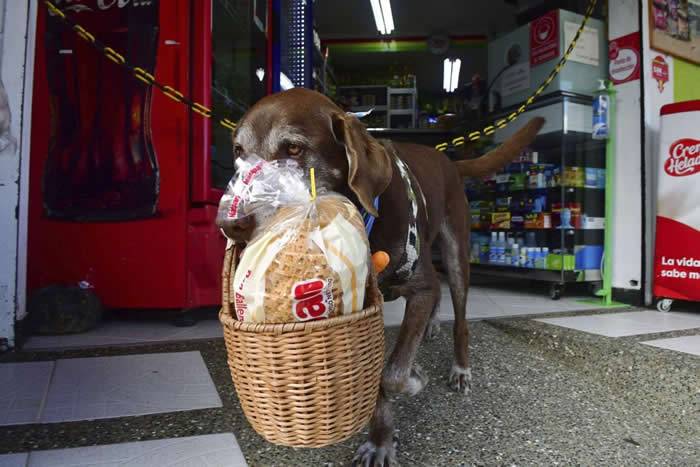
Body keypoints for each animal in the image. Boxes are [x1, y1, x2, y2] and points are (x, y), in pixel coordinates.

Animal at [221, 88, 544, 464]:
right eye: (238, 152)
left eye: (294, 149)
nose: (229, 224)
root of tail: (446, 158)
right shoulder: (363, 309)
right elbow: (376, 375)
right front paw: (381, 440)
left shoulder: (420, 288)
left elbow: (393, 373)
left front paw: (413, 381)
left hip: (456, 250)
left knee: (460, 314)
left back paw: (461, 367)